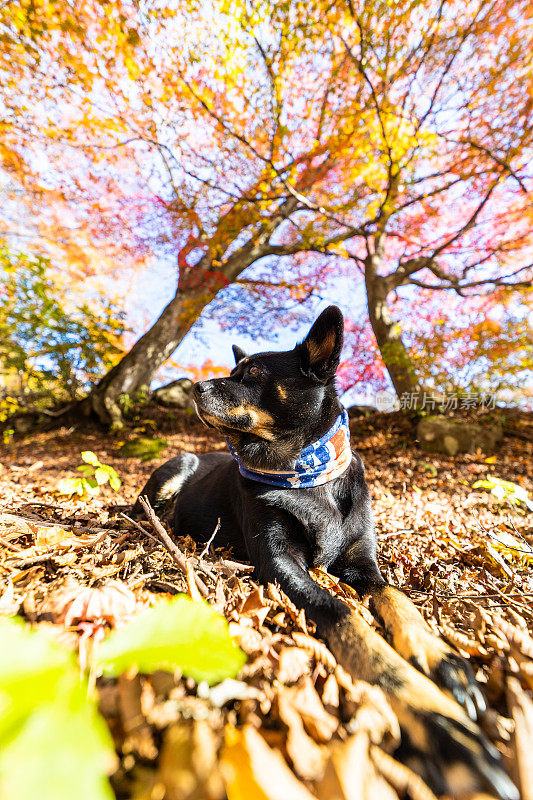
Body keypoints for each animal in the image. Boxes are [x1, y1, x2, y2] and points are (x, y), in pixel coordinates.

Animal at [135, 308, 516, 800]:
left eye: (252, 373)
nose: (195, 387)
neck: (305, 473)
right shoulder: (280, 563)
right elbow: (346, 616)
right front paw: (440, 724)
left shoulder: (363, 564)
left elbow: (397, 599)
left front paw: (443, 662)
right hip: (176, 466)